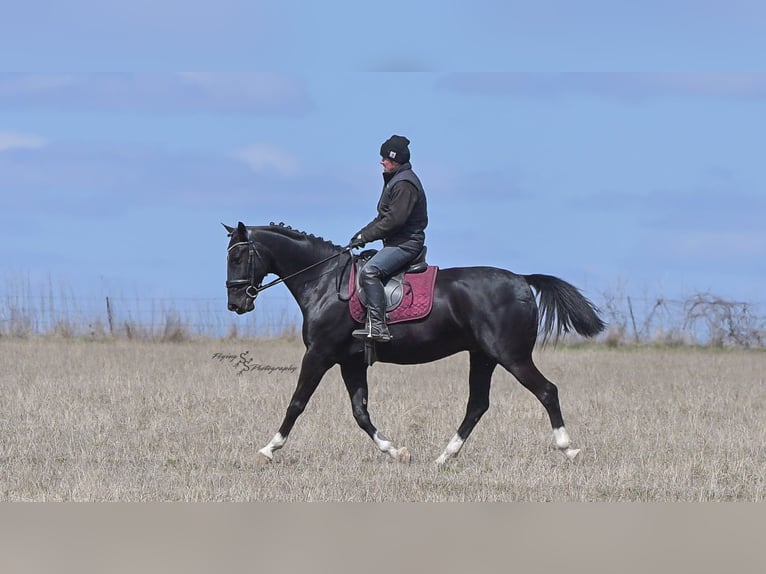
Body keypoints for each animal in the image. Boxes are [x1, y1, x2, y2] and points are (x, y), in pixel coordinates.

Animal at [224, 221, 605, 465]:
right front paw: (395, 451)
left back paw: (568, 448)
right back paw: (444, 456)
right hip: (483, 356)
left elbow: (297, 403)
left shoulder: (319, 354)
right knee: (477, 405)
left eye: (237, 257)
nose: (236, 304)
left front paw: (269, 448)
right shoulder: (350, 361)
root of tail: (522, 280)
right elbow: (360, 411)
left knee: (547, 391)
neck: (324, 281)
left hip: (511, 356)